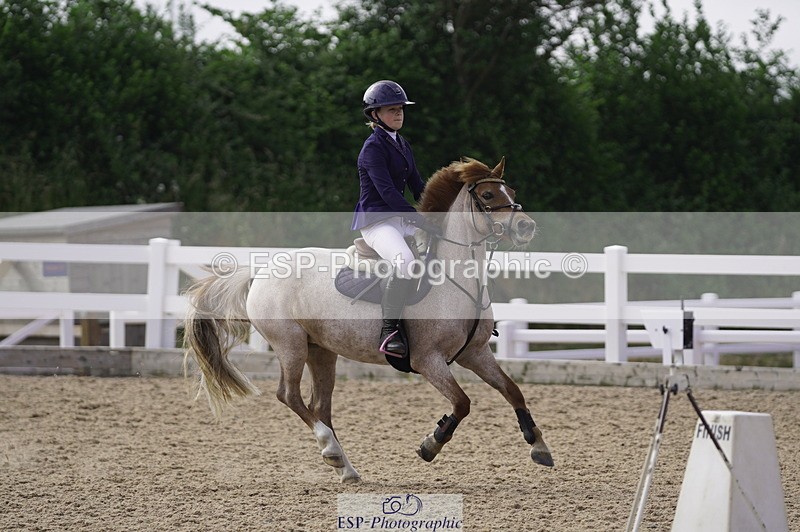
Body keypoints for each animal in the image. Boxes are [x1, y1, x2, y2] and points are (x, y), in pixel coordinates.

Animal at [183, 157, 554, 483]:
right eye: (488, 195)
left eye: (511, 191)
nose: (527, 226)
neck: (455, 278)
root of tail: (260, 271)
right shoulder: (429, 360)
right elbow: (462, 403)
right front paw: (430, 445)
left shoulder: (475, 353)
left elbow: (513, 390)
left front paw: (539, 447)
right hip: (290, 345)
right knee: (289, 396)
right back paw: (331, 450)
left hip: (321, 350)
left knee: (320, 405)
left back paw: (346, 468)